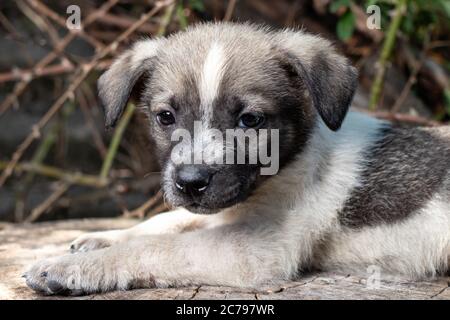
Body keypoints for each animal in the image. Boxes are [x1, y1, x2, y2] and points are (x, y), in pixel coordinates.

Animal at [24, 23, 450, 296]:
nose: (191, 182)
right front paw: (104, 237)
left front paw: (67, 269)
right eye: (166, 117)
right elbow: (167, 221)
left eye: (250, 120)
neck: (292, 161)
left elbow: (159, 247)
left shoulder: (254, 248)